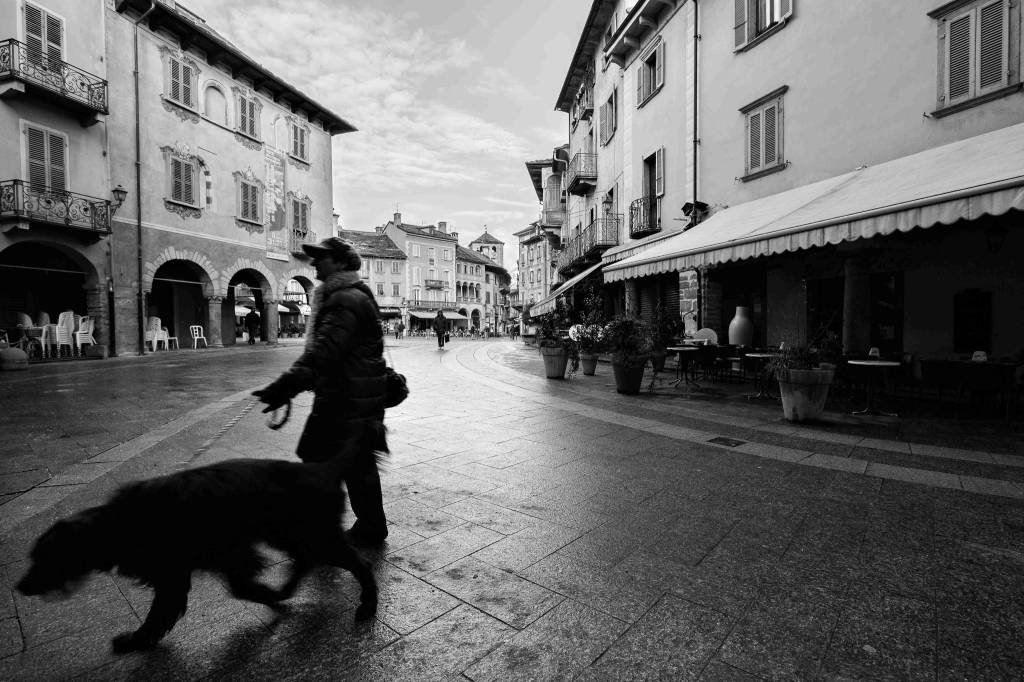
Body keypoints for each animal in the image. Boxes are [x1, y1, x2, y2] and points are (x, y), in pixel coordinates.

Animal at [17, 448, 380, 651]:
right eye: (33, 557)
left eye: (43, 558)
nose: (19, 587)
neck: (121, 522)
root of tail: (323, 467)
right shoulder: (196, 568)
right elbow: (237, 590)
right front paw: (271, 597)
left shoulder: (190, 570)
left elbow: (162, 613)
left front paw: (136, 641)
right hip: (292, 536)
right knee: (306, 562)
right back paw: (286, 591)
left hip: (314, 535)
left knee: (359, 564)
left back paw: (367, 604)